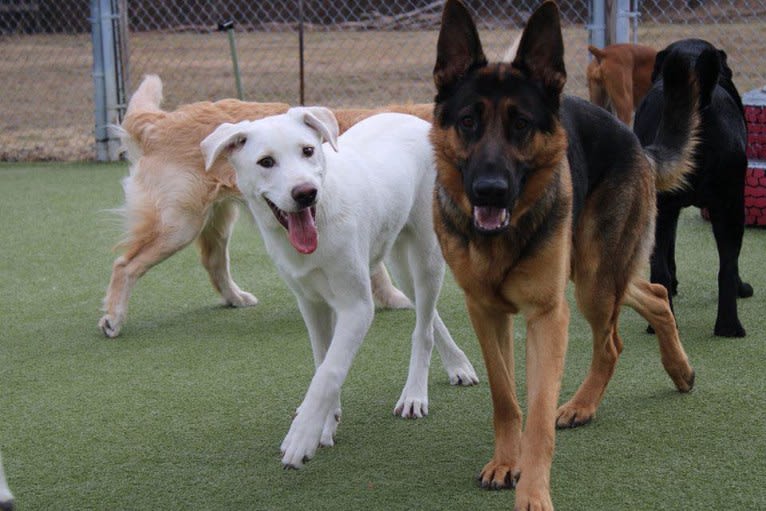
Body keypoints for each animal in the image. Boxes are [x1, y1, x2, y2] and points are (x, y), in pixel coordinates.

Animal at [98, 74, 432, 338]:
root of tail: (161, 122)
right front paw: (395, 299)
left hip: (217, 220)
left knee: (213, 261)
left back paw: (235, 298)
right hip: (178, 224)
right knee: (125, 265)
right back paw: (113, 318)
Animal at [204, 110, 480, 470]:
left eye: (308, 150)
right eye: (266, 162)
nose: (306, 193)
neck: (320, 219)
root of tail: (415, 119)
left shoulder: (357, 307)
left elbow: (329, 372)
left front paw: (302, 436)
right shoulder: (311, 303)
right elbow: (323, 360)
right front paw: (326, 422)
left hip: (427, 254)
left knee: (423, 329)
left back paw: (415, 394)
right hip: (398, 259)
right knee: (428, 314)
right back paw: (458, 365)